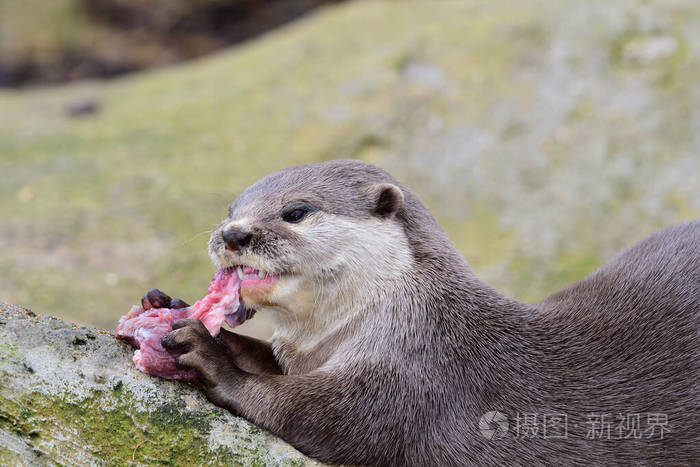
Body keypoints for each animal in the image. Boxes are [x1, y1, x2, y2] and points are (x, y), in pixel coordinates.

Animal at [144, 160, 700, 464]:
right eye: (229, 210)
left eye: (296, 212)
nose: (233, 234)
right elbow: (270, 361)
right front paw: (172, 309)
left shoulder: (420, 374)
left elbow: (318, 415)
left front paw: (211, 356)